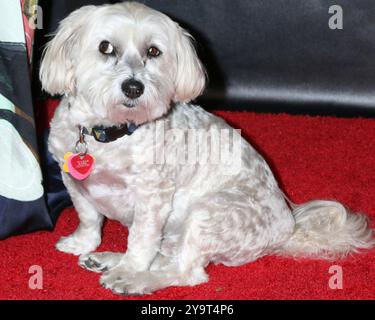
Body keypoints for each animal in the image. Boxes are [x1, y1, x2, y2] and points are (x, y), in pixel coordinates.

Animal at [39, 1, 374, 296]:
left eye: (153, 51)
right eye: (106, 47)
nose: (134, 87)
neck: (110, 132)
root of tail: (287, 228)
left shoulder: (152, 198)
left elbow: (141, 241)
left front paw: (130, 269)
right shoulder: (73, 181)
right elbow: (88, 218)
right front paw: (83, 243)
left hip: (209, 213)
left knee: (187, 272)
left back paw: (134, 278)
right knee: (169, 258)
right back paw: (109, 259)